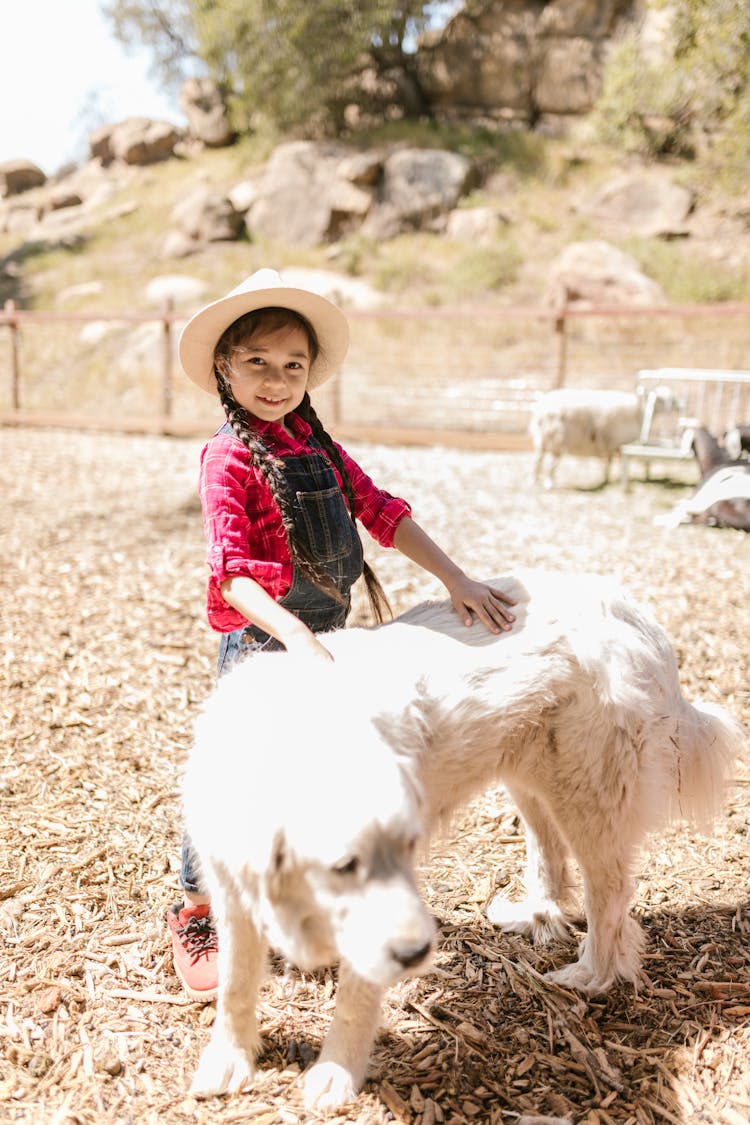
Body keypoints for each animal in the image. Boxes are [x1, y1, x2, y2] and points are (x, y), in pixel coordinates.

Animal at [183, 567, 746, 1111]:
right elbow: (234, 982)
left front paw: (336, 1075)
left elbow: (353, 999)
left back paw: (589, 974)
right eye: (343, 866)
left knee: (609, 893)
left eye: (405, 847)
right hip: (532, 775)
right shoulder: (232, 890)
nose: (417, 952)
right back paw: (535, 916)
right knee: (550, 852)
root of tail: (636, 616)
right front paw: (228, 1061)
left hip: (584, 789)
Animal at [530, 387, 679, 488]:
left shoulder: (611, 445)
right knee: (550, 464)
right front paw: (610, 480)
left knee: (538, 460)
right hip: (557, 439)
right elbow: (612, 463)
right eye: (661, 398)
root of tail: (540, 409)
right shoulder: (616, 443)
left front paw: (606, 480)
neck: (640, 412)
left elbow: (608, 463)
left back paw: (534, 481)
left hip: (541, 440)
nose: (678, 405)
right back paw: (549, 483)